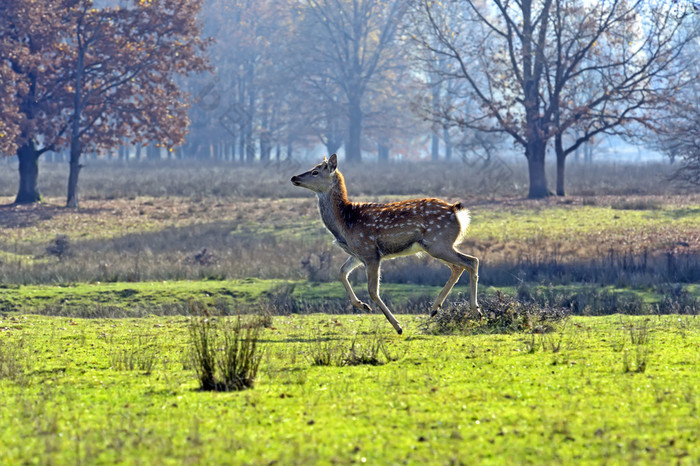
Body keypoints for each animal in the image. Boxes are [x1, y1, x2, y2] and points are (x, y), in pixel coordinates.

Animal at [292, 155, 482, 334]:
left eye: (315, 172)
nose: (294, 177)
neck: (345, 223)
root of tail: (456, 211)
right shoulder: (357, 254)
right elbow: (341, 273)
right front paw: (361, 305)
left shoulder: (370, 252)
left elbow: (372, 290)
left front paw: (397, 326)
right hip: (435, 246)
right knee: (458, 267)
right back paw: (435, 309)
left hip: (439, 243)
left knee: (471, 261)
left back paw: (476, 311)